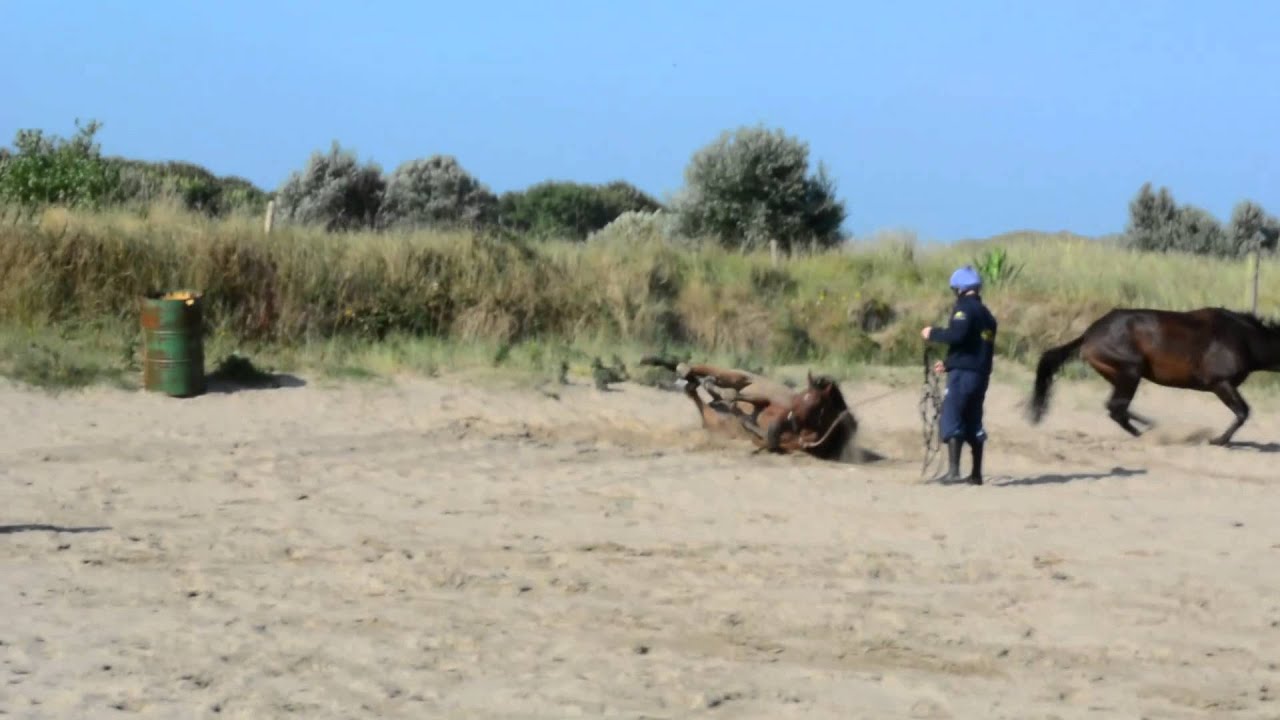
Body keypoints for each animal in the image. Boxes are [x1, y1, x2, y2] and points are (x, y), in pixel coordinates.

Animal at [638, 355, 860, 461]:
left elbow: (734, 404)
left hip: (714, 411)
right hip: (738, 376)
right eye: (801, 396)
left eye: (814, 404)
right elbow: (736, 398)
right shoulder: (766, 404)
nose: (788, 420)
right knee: (695, 369)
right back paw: (654, 361)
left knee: (693, 387)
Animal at [1027, 306, 1280, 446]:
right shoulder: (1221, 383)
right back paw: (1148, 432)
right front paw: (1217, 440)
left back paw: (1148, 429)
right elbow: (1243, 412)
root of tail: (1089, 335)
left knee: (1115, 408)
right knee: (1117, 407)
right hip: (1130, 371)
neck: (1246, 339)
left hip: (1119, 375)